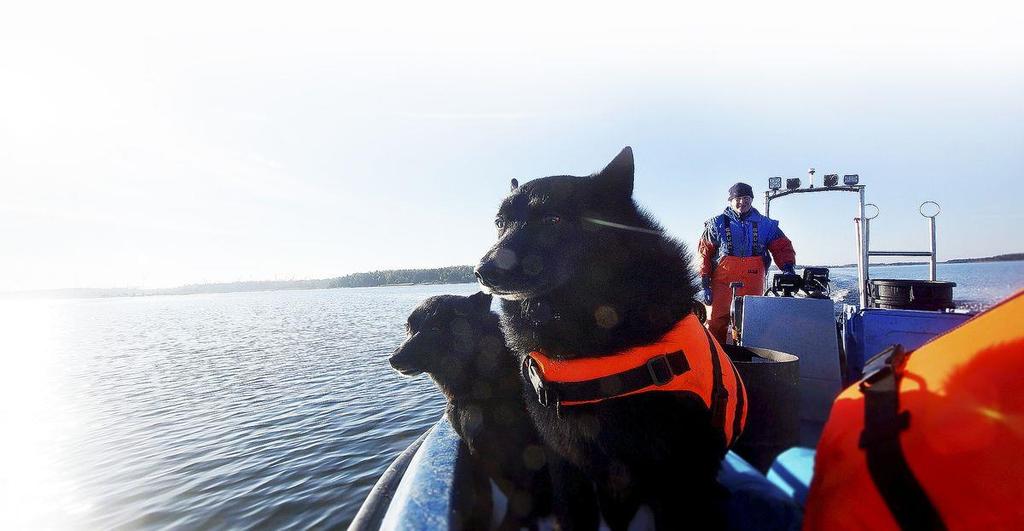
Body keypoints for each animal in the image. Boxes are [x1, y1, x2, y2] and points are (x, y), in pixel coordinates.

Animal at [389, 292, 552, 527]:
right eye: (408, 327)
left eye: (436, 328)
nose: (394, 359)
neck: (480, 390)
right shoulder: (480, 453)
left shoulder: (528, 453)